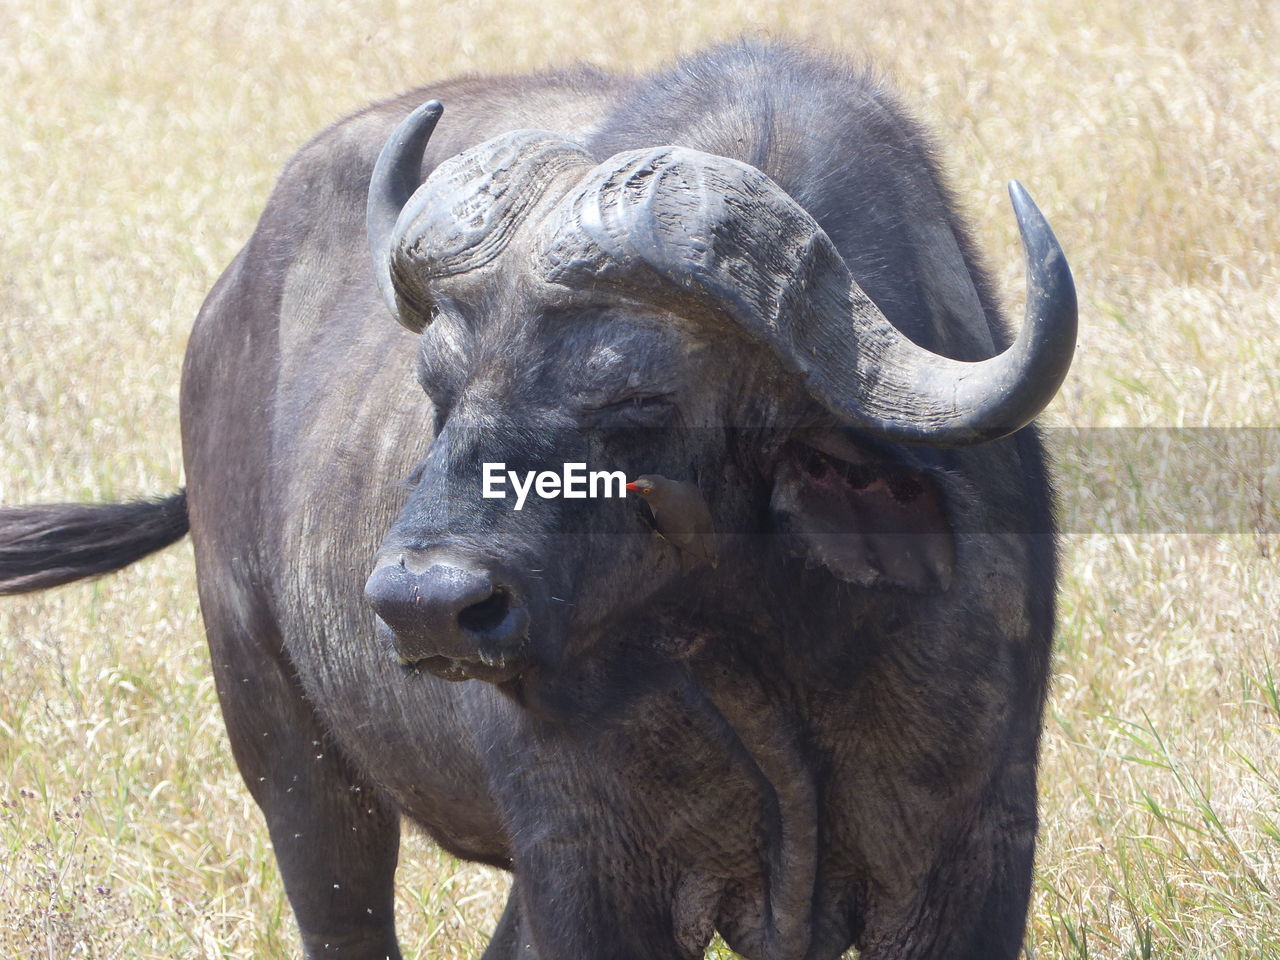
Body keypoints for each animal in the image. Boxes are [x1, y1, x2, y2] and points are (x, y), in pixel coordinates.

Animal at [5, 41, 1075, 957]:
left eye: (638, 400)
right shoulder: (584, 864)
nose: (426, 605)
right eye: (436, 387)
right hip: (286, 750)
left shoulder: (971, 858)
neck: (760, 644)